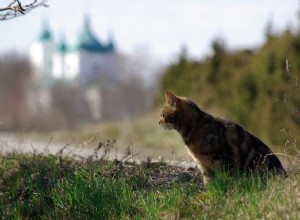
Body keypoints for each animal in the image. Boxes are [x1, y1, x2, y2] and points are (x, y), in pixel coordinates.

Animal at [158, 90, 288, 183]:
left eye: (162, 115)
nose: (158, 122)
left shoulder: (224, 160)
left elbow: (228, 181)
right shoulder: (204, 165)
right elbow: (210, 184)